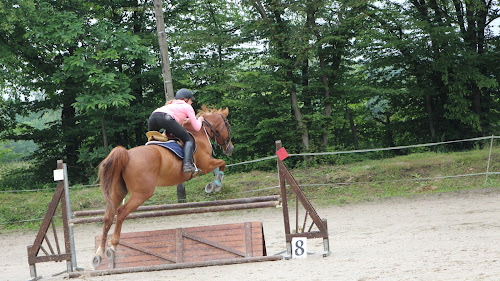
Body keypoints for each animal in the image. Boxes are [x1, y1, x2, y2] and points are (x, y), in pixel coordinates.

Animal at [93, 105, 233, 266]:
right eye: (228, 126)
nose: (231, 148)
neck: (199, 134)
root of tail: (127, 155)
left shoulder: (208, 164)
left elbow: (220, 165)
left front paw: (213, 184)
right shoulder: (205, 164)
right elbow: (222, 164)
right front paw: (215, 184)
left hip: (118, 192)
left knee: (108, 217)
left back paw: (98, 254)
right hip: (142, 193)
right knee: (121, 212)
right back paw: (112, 246)